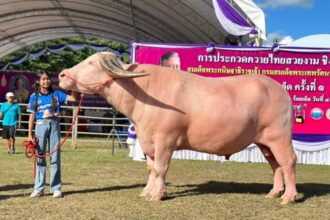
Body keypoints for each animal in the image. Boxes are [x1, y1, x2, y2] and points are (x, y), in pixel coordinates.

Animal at [59, 52, 300, 205]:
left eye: (91, 63)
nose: (61, 74)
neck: (141, 93)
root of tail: (281, 90)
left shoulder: (165, 140)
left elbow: (161, 168)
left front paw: (157, 195)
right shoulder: (147, 142)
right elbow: (151, 168)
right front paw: (147, 191)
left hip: (279, 138)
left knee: (288, 162)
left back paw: (288, 197)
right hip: (265, 143)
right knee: (276, 166)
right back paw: (274, 193)